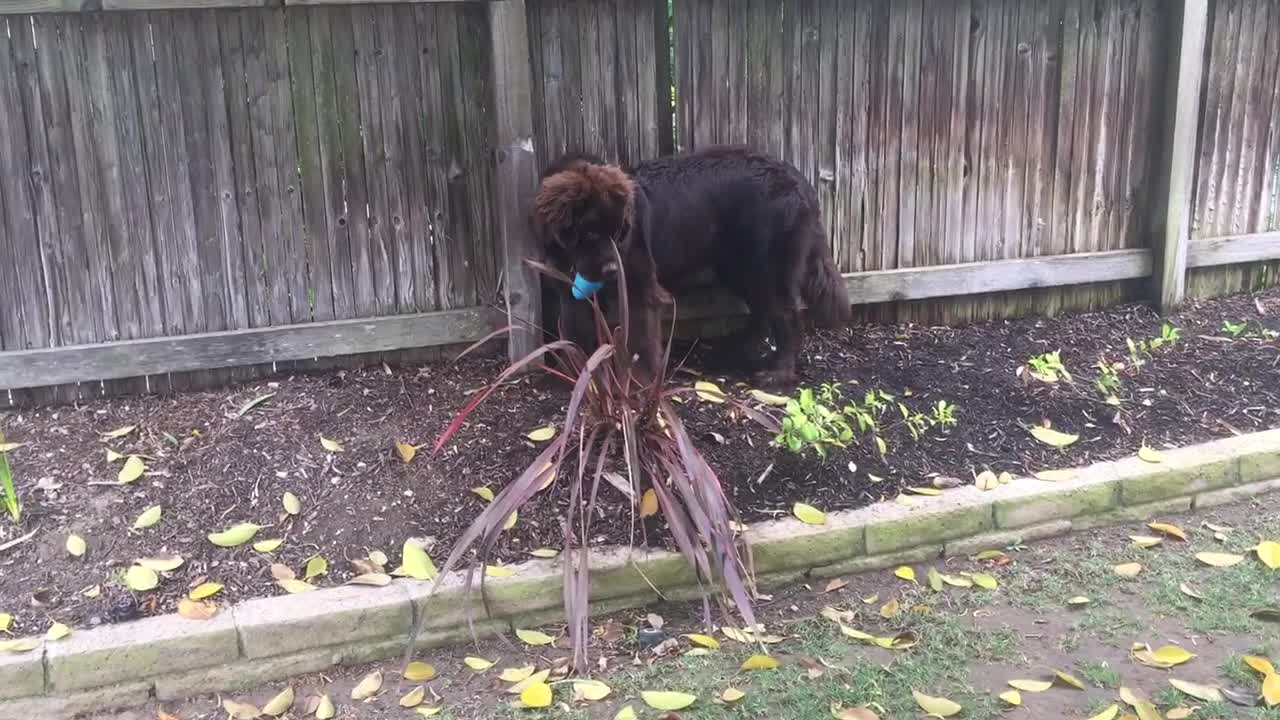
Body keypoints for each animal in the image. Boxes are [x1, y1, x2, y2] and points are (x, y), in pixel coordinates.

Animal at [529, 142, 849, 384]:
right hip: (738, 268)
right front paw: (576, 374)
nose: (611, 271)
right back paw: (741, 346)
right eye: (591, 233)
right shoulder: (568, 291)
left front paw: (640, 381)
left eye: (620, 234)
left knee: (787, 315)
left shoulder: (640, 287)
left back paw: (778, 373)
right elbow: (574, 330)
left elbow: (642, 339)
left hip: (768, 268)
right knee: (760, 309)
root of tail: (799, 181)